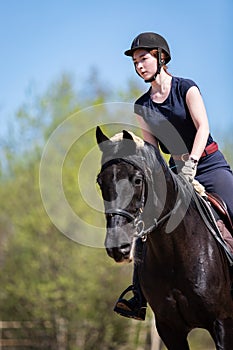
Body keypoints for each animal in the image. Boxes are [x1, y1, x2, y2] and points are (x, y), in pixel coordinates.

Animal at [96, 126, 233, 350]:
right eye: (100, 181)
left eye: (137, 180)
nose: (118, 247)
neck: (173, 254)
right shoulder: (169, 329)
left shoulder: (222, 323)